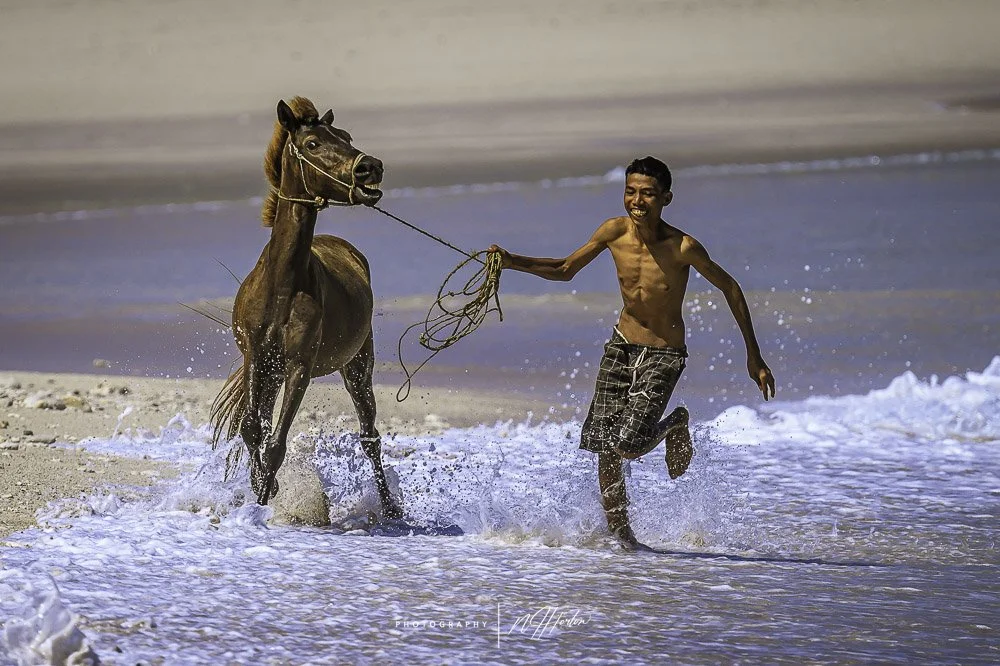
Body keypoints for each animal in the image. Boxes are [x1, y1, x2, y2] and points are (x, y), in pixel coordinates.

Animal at [211, 96, 401, 519]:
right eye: (312, 144)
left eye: (346, 137)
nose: (370, 167)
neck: (282, 286)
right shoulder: (256, 358)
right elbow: (253, 429)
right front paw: (263, 490)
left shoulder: (300, 366)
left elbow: (276, 445)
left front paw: (263, 502)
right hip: (272, 374)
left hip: (357, 366)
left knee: (370, 436)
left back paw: (392, 509)